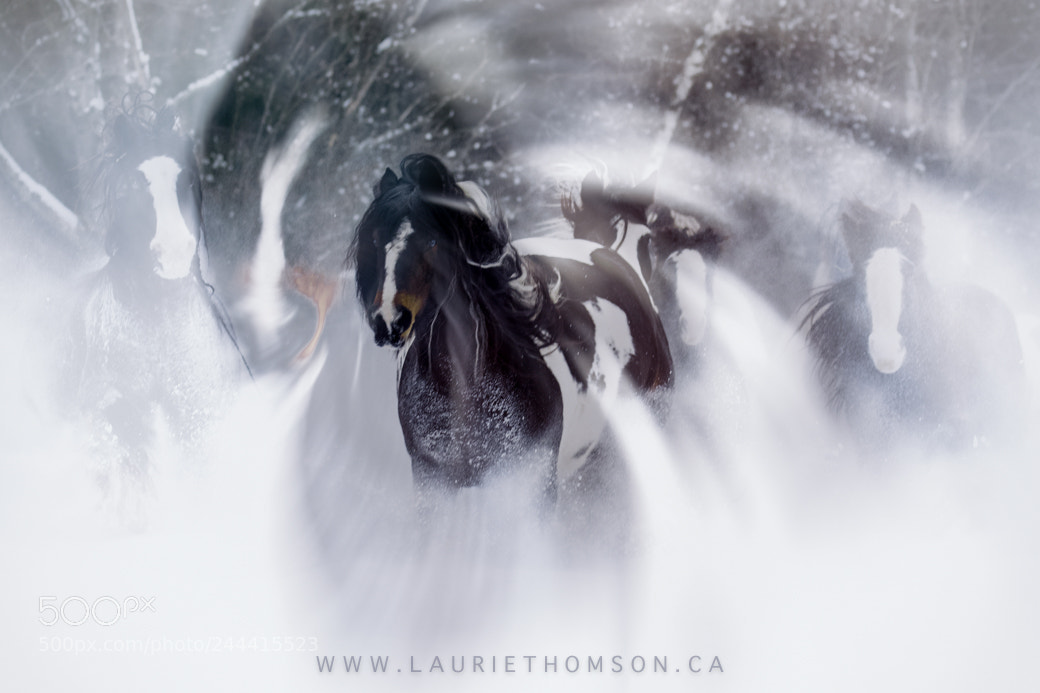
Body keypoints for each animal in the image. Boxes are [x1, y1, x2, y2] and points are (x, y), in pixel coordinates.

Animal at [350, 154, 674, 505]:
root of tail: (612, 256)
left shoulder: (530, 483)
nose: (389, 321)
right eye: (374, 240)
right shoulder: (432, 481)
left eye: (432, 240)